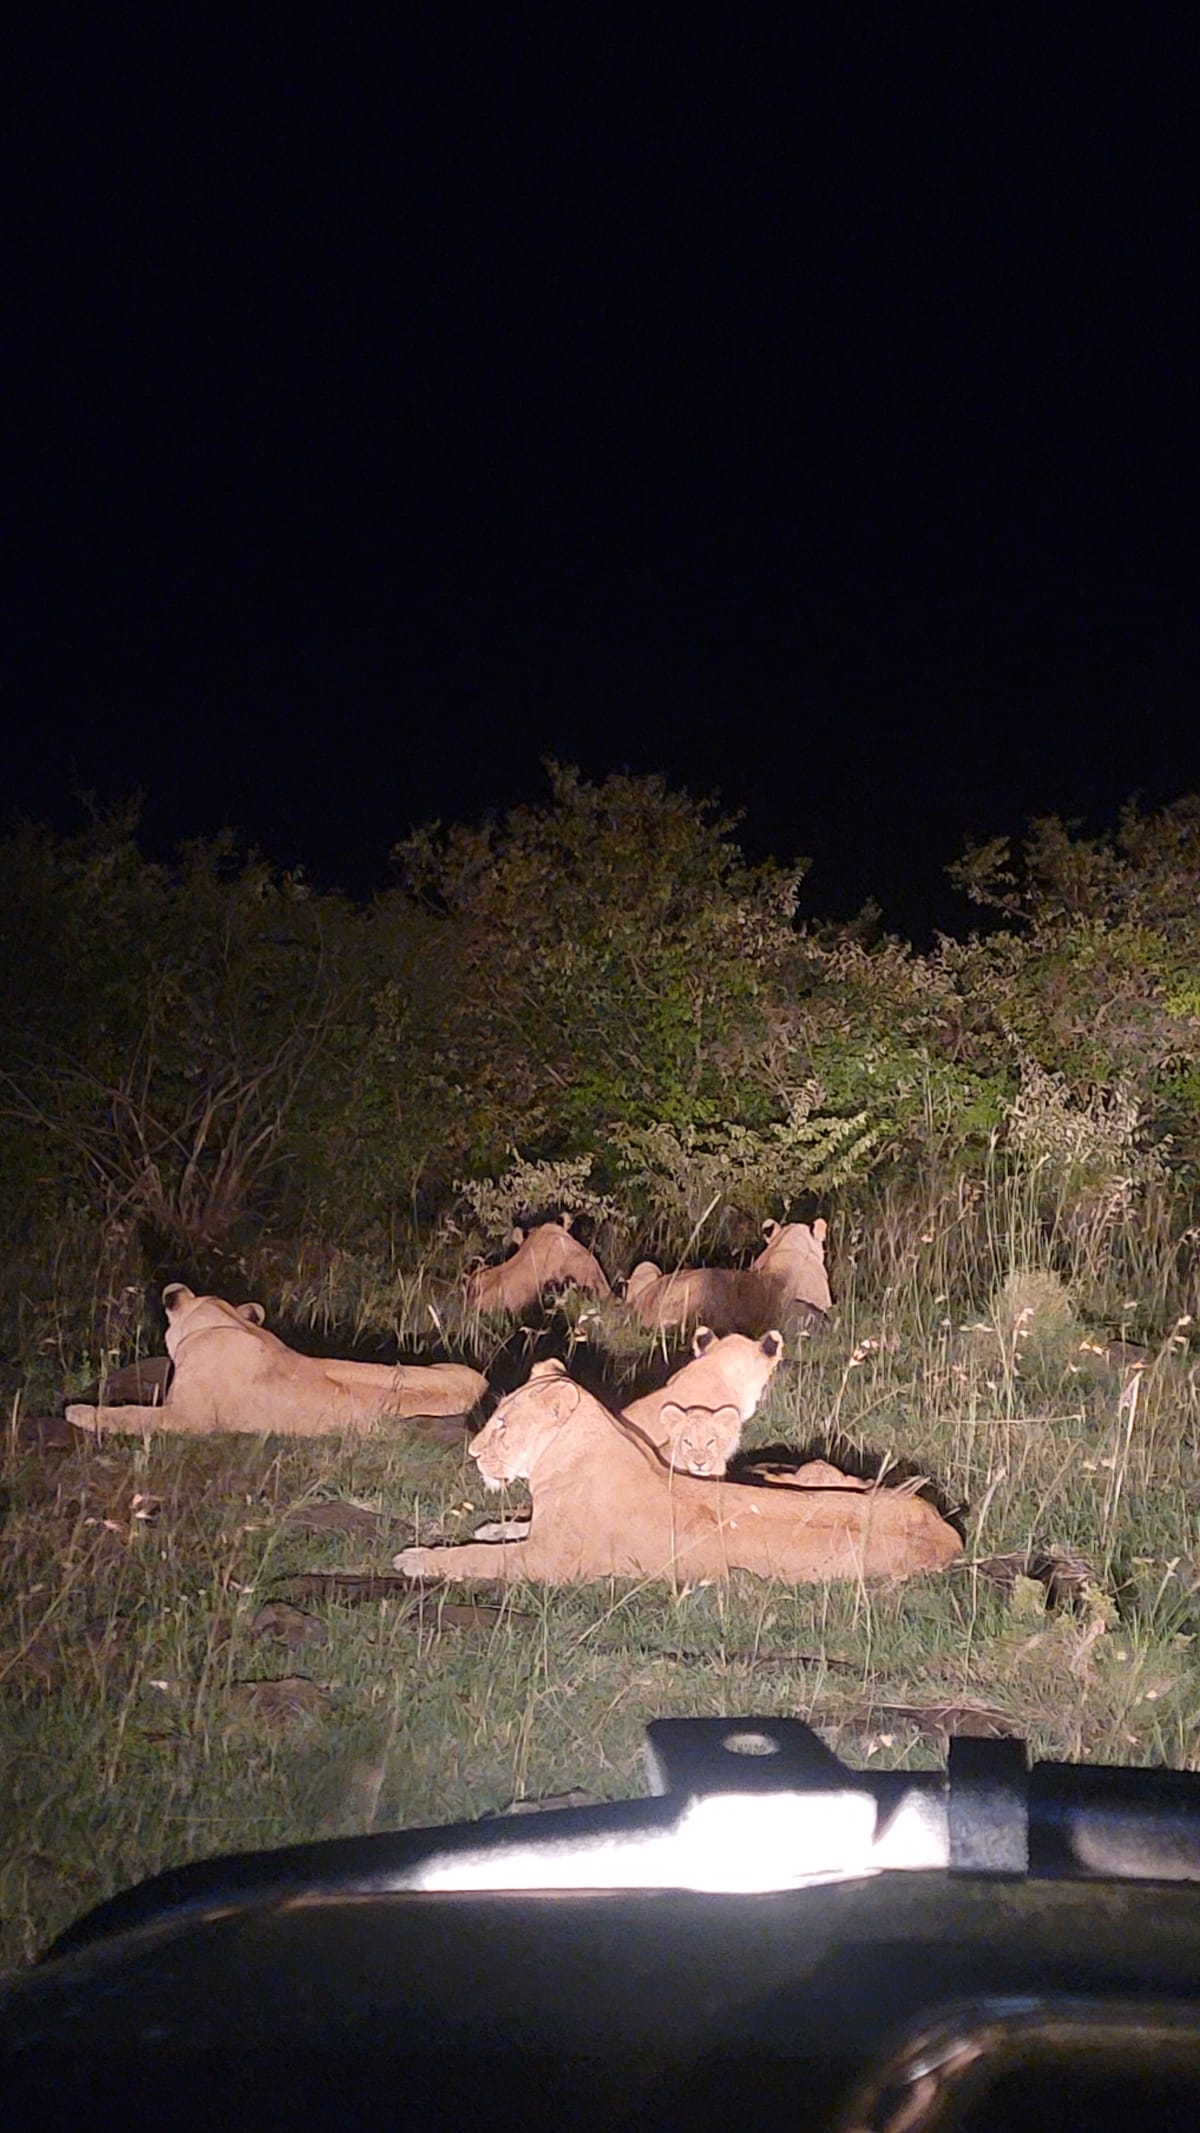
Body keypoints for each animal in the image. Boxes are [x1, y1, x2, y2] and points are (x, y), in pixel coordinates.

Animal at [395, 1359, 962, 1585]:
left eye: (504, 1425)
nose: (473, 1454)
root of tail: (948, 1534)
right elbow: (508, 1530)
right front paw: (493, 1525)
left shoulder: (551, 1563)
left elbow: (478, 1560)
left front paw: (417, 1559)